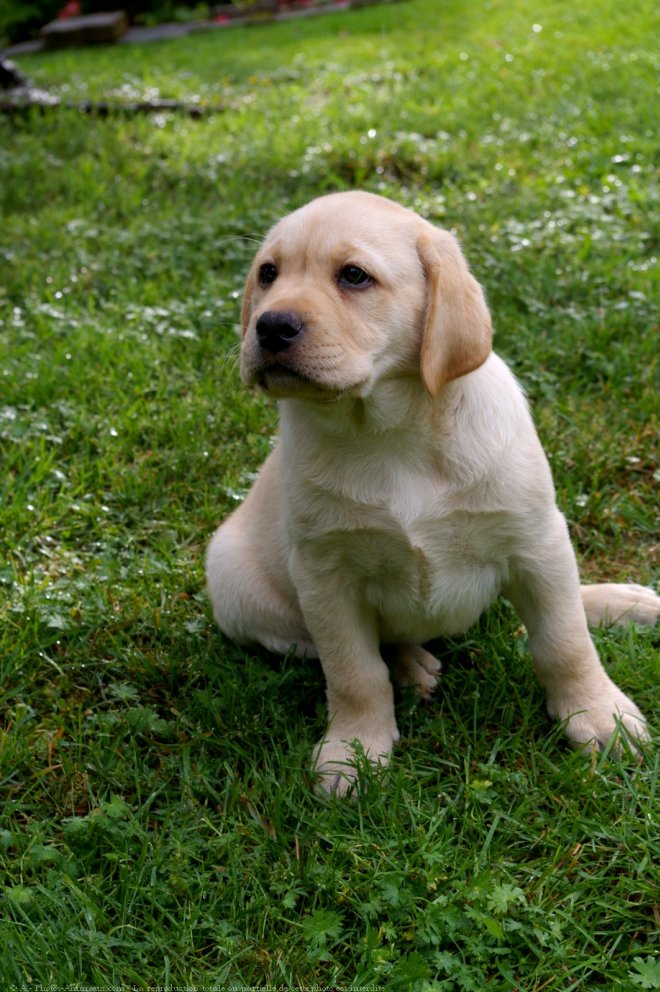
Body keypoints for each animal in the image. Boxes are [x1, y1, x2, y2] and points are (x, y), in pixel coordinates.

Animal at [205, 192, 656, 800]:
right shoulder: (326, 574)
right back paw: (412, 665)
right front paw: (352, 750)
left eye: (354, 276)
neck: (392, 431)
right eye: (268, 274)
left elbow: (564, 642)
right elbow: (353, 670)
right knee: (359, 646)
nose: (270, 325)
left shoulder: (534, 538)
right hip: (234, 582)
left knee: (552, 603)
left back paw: (620, 601)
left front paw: (599, 716)